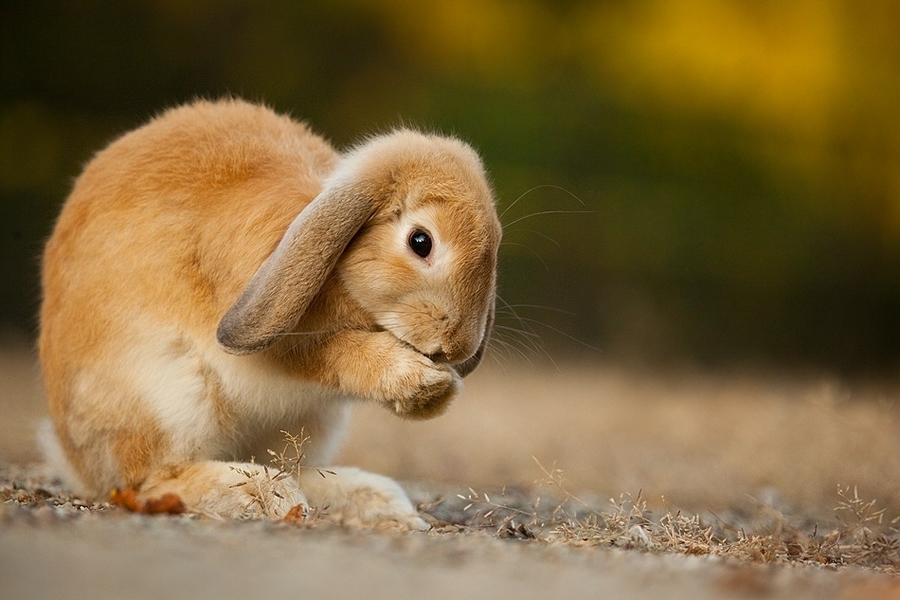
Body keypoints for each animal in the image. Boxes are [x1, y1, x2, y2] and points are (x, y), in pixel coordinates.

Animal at [38, 96, 500, 528]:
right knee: (149, 481)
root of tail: (73, 458)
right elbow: (335, 355)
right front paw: (428, 384)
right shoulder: (276, 345)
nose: (457, 346)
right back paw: (266, 495)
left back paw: (372, 502)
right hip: (168, 397)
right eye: (421, 242)